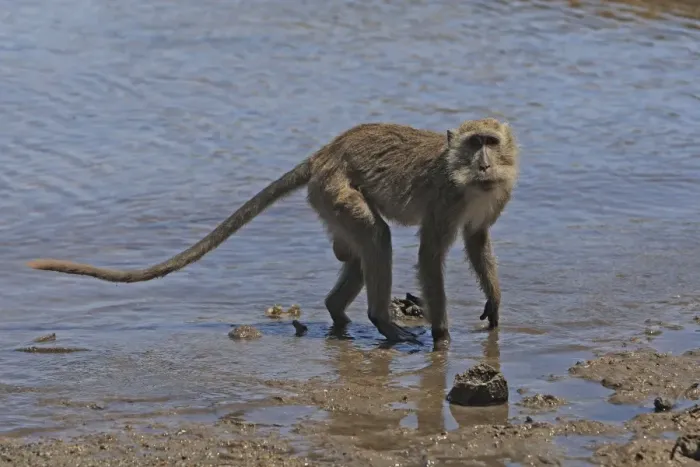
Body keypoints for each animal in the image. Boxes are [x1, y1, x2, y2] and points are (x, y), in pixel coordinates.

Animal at [27, 117, 519, 347]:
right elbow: (430, 255)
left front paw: (494, 303)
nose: (484, 163)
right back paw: (382, 323)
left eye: (490, 142)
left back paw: (338, 313)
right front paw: (442, 336)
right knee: (376, 236)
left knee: (361, 247)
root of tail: (325, 152)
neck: (471, 182)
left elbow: (477, 240)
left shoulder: (496, 196)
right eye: (473, 144)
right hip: (333, 187)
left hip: (327, 198)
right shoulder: (446, 199)